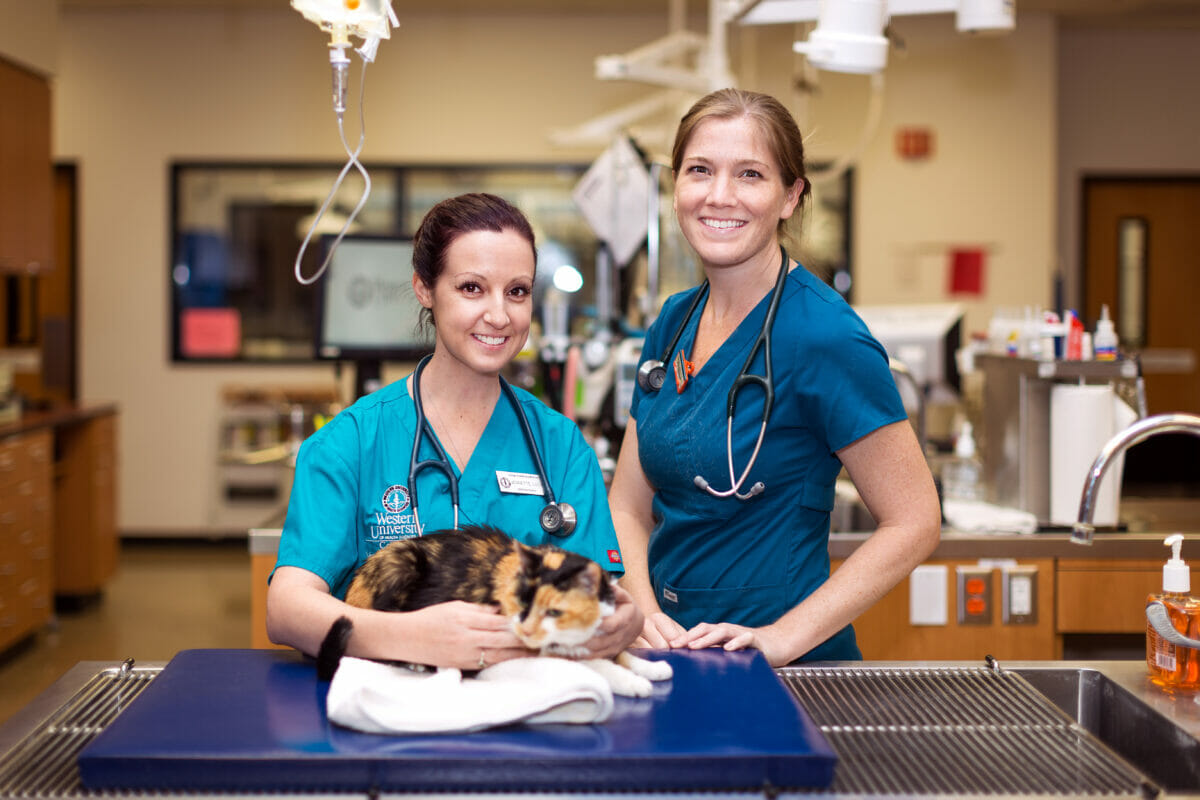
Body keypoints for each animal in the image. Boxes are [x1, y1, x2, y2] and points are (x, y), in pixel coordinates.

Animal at [319, 525, 672, 695]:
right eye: (522, 602)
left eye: (552, 611)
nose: (525, 627)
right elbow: (596, 665)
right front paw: (633, 683)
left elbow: (619, 652)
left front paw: (651, 668)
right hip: (400, 561)